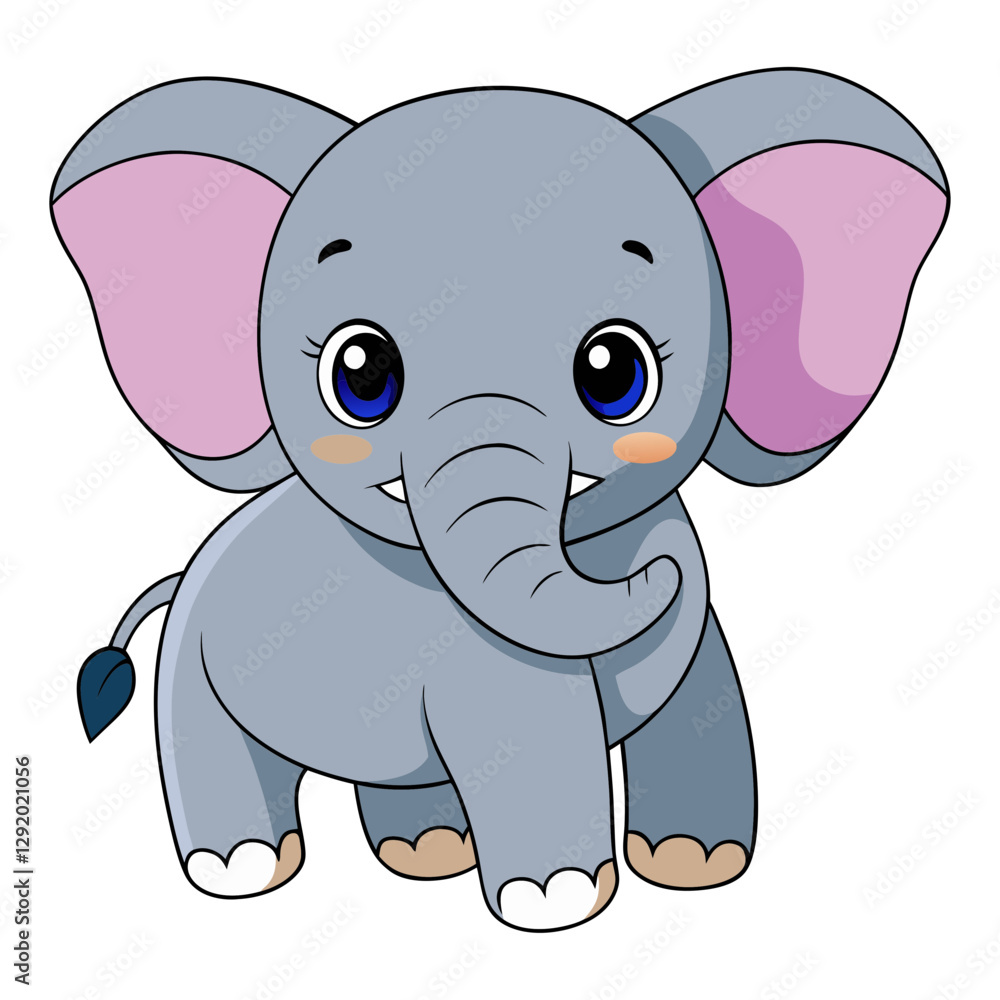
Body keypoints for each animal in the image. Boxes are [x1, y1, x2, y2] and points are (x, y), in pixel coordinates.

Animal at [53, 68, 948, 931]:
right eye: (361, 375)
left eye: (615, 373)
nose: (664, 566)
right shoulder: (485, 658)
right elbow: (532, 738)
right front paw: (556, 902)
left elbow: (702, 705)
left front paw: (695, 866)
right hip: (192, 669)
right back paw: (242, 871)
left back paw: (426, 852)